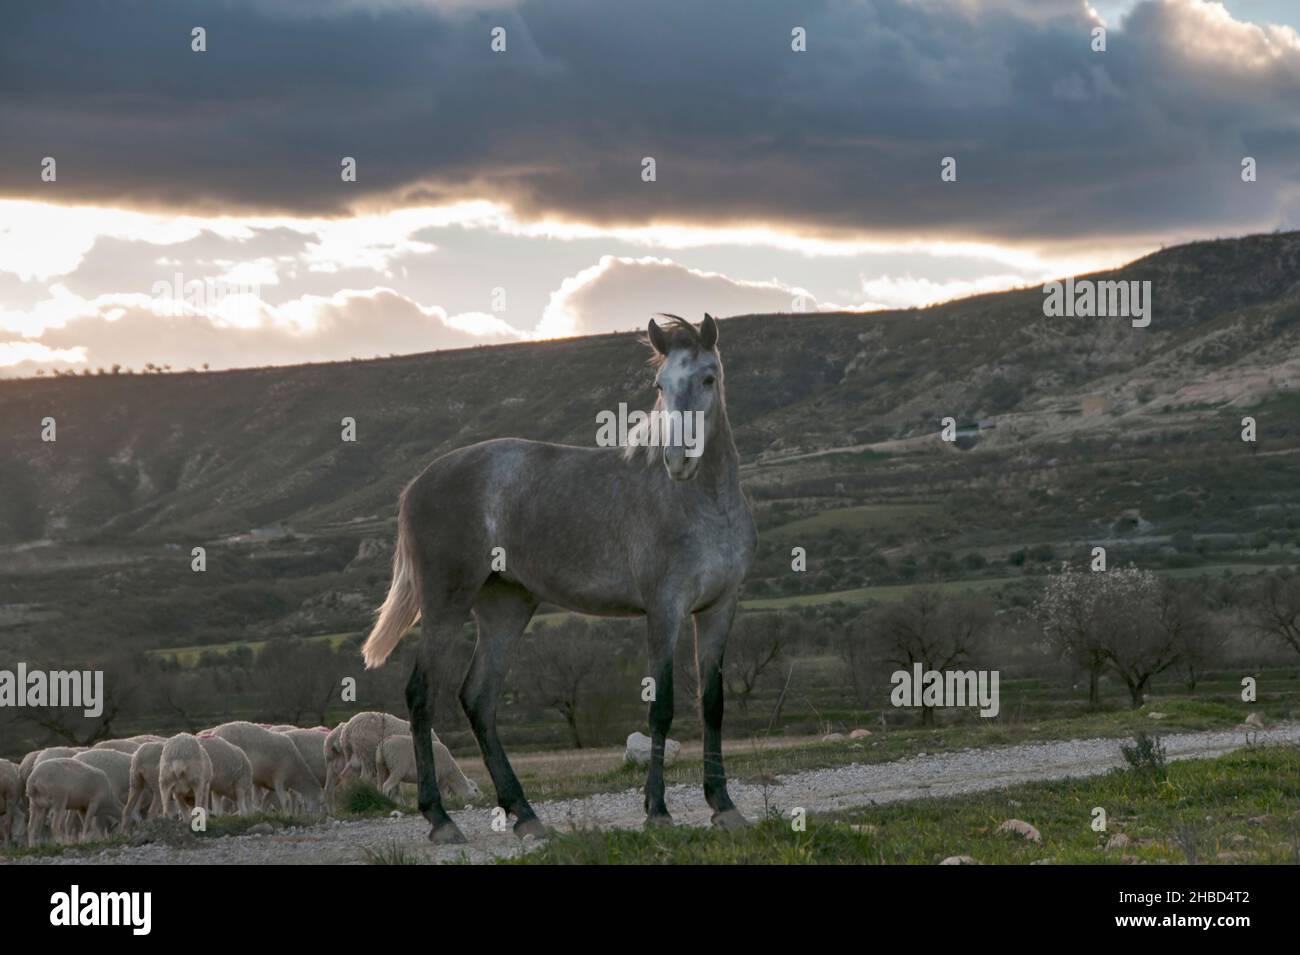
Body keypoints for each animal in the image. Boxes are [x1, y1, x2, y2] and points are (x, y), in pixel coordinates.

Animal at [361, 310, 759, 841]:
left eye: (708, 379)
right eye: (661, 385)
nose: (677, 460)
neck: (703, 503)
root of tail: (416, 484)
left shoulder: (718, 609)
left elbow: (712, 704)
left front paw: (724, 805)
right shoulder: (664, 610)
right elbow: (662, 707)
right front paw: (657, 810)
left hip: (507, 606)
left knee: (479, 698)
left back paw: (525, 814)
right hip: (446, 603)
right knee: (422, 695)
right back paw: (441, 819)